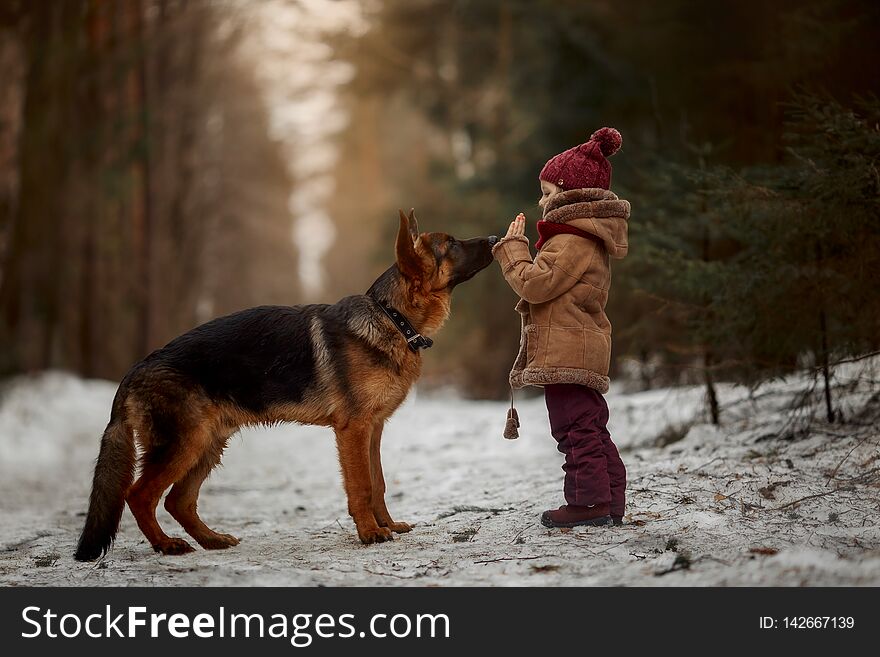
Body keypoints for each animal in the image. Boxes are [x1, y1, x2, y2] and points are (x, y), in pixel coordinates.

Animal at [72, 210, 498, 560]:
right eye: (451, 243)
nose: (496, 237)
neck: (392, 318)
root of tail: (135, 370)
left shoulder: (373, 430)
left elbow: (378, 483)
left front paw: (387, 525)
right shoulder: (353, 431)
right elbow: (361, 485)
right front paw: (370, 533)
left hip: (207, 443)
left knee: (178, 501)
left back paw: (210, 540)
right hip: (184, 444)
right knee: (139, 495)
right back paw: (166, 545)